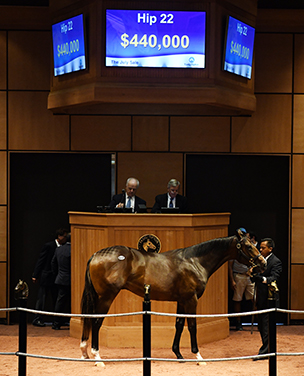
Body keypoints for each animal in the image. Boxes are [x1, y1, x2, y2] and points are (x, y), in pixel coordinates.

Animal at [79, 228, 266, 366]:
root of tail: (96, 255)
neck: (194, 261)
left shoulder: (182, 300)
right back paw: (97, 358)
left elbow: (179, 325)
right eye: (248, 246)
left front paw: (178, 354)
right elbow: (192, 326)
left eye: (254, 243)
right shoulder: (191, 300)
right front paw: (198, 357)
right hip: (106, 297)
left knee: (89, 320)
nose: (263, 263)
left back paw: (84, 353)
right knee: (96, 322)